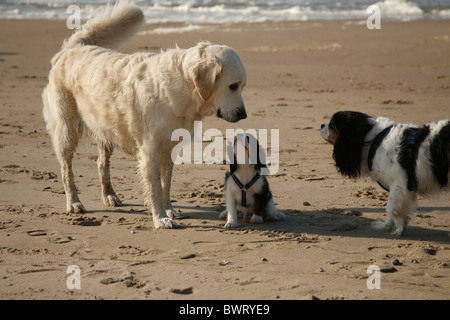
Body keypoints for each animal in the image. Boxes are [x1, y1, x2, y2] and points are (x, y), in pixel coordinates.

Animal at [41, 1, 246, 229]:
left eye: (241, 86)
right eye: (233, 86)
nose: (244, 115)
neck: (182, 87)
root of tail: (73, 48)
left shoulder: (168, 149)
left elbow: (166, 185)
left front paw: (170, 210)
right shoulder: (150, 150)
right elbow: (155, 188)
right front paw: (161, 218)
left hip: (105, 128)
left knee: (101, 164)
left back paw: (109, 195)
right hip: (66, 129)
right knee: (66, 169)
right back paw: (74, 203)